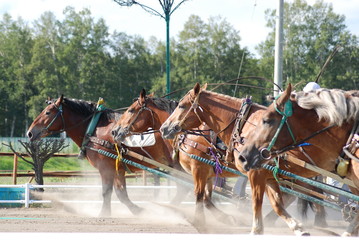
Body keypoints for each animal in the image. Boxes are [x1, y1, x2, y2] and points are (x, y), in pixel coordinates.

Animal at [26, 96, 187, 218]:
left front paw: (104, 213)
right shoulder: (118, 168)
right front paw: (137, 210)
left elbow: (106, 191)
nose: (30, 132)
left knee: (184, 188)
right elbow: (121, 193)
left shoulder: (106, 168)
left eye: (48, 112)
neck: (95, 128)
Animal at [112, 89, 242, 229]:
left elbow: (198, 195)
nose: (114, 131)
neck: (187, 135)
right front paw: (227, 218)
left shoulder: (199, 170)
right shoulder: (207, 174)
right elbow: (206, 199)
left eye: (131, 110)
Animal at [162, 82, 330, 234]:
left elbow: (199, 196)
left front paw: (200, 223)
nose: (164, 128)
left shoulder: (200, 168)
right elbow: (276, 203)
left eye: (182, 105)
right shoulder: (214, 172)